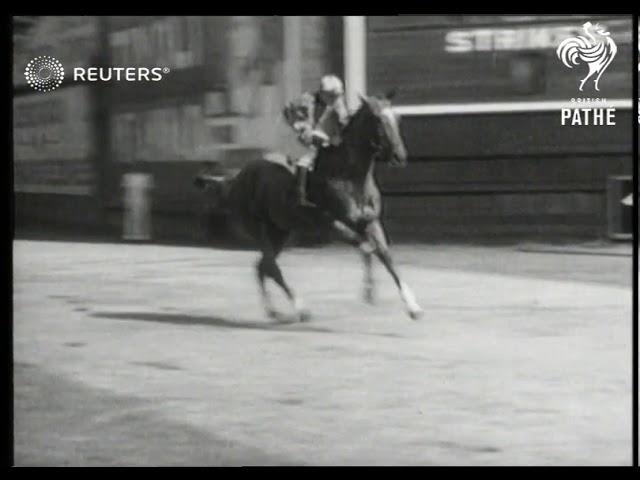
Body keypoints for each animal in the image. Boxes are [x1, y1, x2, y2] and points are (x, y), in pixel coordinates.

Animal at [198, 94, 422, 320]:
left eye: (398, 118)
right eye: (378, 120)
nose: (400, 156)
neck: (349, 177)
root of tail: (235, 179)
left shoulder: (372, 222)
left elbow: (386, 257)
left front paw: (411, 306)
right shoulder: (330, 224)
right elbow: (367, 246)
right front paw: (369, 288)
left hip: (280, 231)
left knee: (261, 267)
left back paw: (273, 311)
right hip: (258, 229)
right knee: (271, 267)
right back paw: (300, 308)